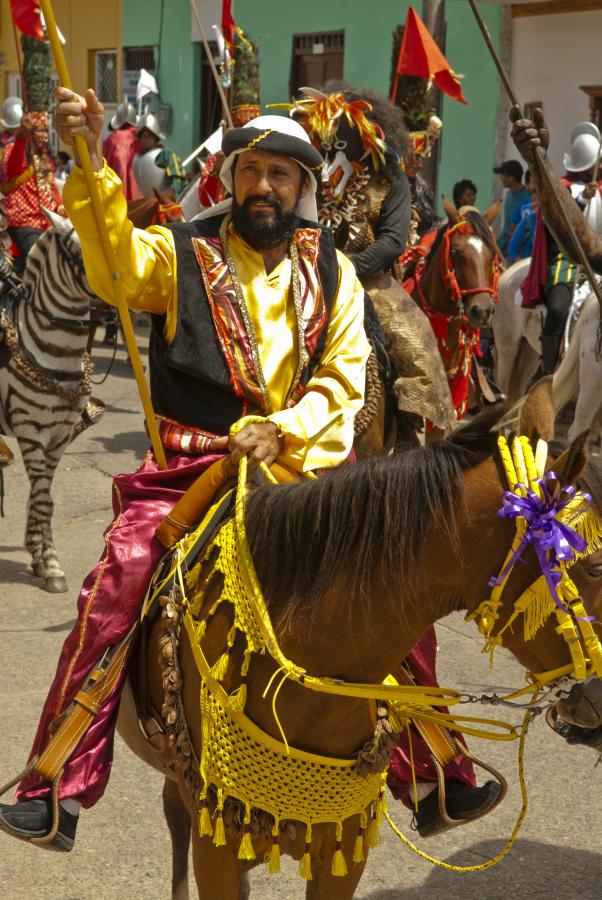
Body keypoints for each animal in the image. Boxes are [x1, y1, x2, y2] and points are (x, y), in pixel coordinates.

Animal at [0, 209, 97, 592]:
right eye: (83, 251)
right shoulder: (30, 430)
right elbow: (43, 501)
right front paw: (51, 567)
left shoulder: (58, 435)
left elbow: (45, 499)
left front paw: (41, 557)